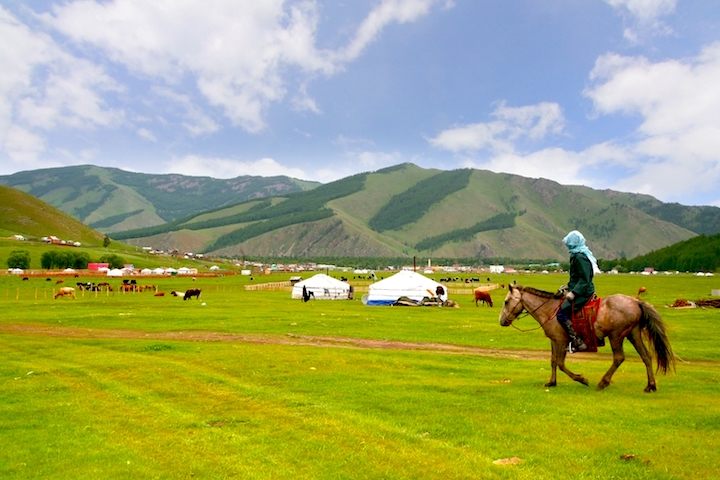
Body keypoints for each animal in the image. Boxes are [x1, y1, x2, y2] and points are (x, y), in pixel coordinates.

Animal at [500, 284, 676, 392]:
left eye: (506, 301)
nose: (501, 321)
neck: (549, 310)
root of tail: (636, 301)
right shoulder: (554, 340)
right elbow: (553, 361)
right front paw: (551, 382)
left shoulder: (561, 341)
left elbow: (560, 363)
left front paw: (581, 379)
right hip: (633, 334)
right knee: (646, 356)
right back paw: (650, 386)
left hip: (616, 335)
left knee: (619, 357)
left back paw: (603, 382)